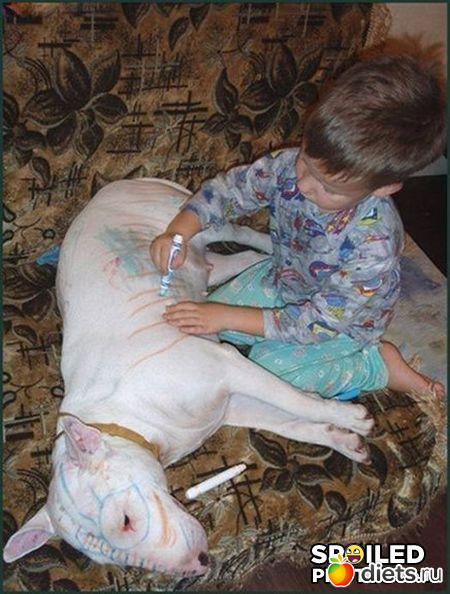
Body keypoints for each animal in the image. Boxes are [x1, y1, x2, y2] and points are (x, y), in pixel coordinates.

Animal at [4, 178, 373, 576]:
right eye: (108, 558)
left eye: (125, 520)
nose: (198, 566)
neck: (128, 421)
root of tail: (118, 185)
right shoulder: (229, 405)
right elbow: (289, 422)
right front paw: (342, 439)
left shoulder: (228, 364)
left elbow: (295, 400)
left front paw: (350, 417)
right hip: (207, 265)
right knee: (238, 260)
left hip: (197, 220)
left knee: (239, 231)